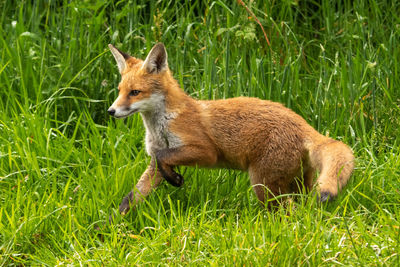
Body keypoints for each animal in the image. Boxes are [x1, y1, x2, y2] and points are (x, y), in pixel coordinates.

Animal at [106, 43, 354, 217]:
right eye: (119, 90)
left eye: (135, 92)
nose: (111, 111)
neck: (162, 126)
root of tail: (304, 125)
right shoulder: (156, 163)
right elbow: (131, 197)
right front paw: (109, 228)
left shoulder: (205, 152)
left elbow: (163, 156)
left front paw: (175, 180)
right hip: (297, 183)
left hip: (264, 185)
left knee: (288, 213)